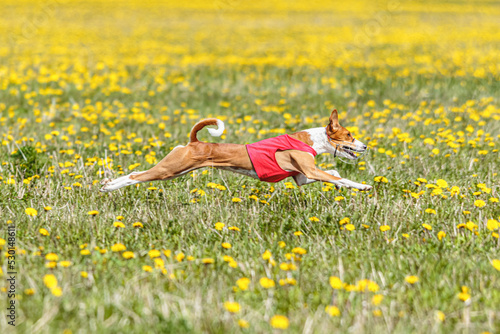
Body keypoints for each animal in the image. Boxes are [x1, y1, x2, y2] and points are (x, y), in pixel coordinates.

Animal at [99, 109, 372, 192]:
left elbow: (334, 172)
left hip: (176, 171)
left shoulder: (302, 177)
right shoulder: (310, 172)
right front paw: (363, 186)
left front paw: (340, 181)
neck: (309, 140)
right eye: (350, 135)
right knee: (135, 176)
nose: (365, 146)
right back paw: (109, 186)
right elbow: (342, 177)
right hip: (169, 169)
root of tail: (194, 142)